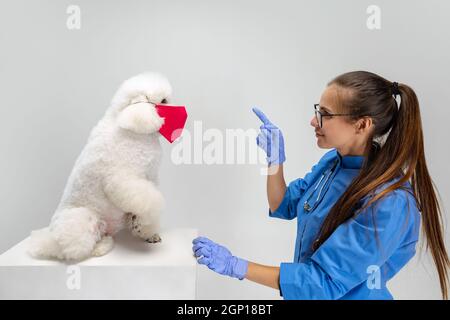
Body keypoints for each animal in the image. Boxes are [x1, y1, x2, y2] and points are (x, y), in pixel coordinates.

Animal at [28, 72, 171, 260]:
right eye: (163, 101)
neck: (132, 128)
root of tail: (51, 238)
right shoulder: (124, 182)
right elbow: (151, 203)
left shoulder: (149, 179)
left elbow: (143, 215)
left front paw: (147, 233)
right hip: (82, 218)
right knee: (74, 249)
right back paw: (97, 249)